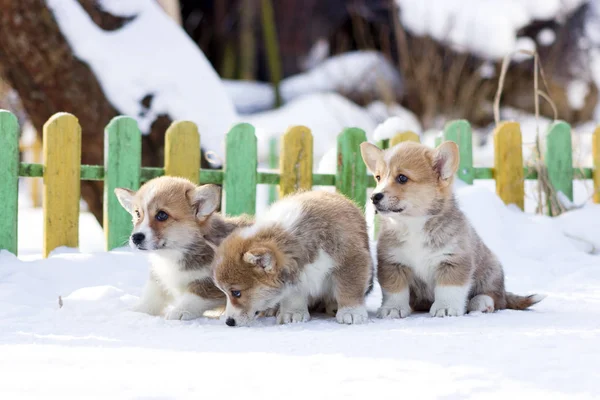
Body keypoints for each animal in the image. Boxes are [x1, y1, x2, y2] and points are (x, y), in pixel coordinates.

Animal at [114, 177, 251, 320]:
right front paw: (137, 311)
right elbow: (152, 296)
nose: (136, 237)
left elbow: (194, 297)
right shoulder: (160, 277)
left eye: (162, 215)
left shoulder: (211, 283)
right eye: (137, 213)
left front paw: (178, 312)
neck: (172, 254)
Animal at [213, 190, 372, 324]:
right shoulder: (295, 275)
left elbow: (350, 287)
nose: (229, 322)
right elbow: (293, 294)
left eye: (236, 293)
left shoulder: (350, 259)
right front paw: (293, 313)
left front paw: (351, 312)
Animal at [358, 141, 548, 318]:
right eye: (378, 177)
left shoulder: (452, 260)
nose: (374, 197)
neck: (414, 225)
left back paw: (481, 303)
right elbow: (395, 291)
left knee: (496, 297)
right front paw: (393, 309)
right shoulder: (393, 263)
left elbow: (448, 289)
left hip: (491, 270)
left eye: (402, 178)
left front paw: (445, 308)